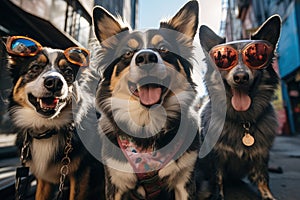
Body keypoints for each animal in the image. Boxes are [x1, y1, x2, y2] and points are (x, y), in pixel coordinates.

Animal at [3, 36, 104, 200]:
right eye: (35, 68)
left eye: (68, 72)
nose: (55, 82)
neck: (46, 128)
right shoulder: (44, 179)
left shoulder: (82, 174)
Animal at [90, 0, 200, 199]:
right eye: (128, 53)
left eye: (163, 49)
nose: (146, 57)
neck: (147, 123)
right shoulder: (115, 184)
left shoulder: (185, 181)